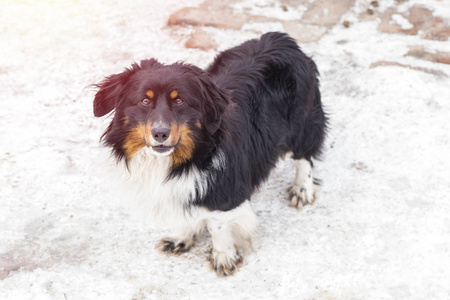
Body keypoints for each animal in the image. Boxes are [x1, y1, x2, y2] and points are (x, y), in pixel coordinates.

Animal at [93, 32, 326, 276]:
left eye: (180, 100)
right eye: (144, 100)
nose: (160, 133)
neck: (179, 161)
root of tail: (281, 39)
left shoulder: (224, 191)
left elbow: (218, 226)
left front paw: (223, 257)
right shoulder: (184, 188)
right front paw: (181, 238)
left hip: (303, 120)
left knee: (304, 155)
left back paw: (302, 189)